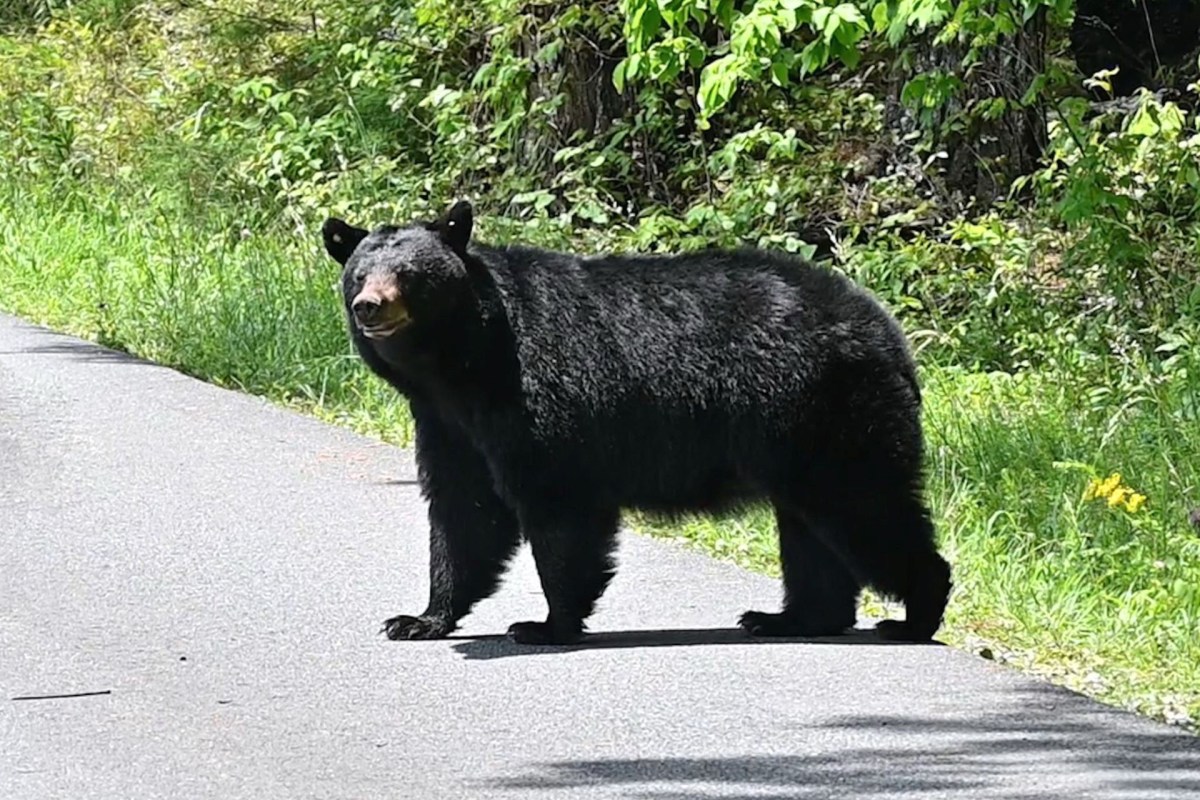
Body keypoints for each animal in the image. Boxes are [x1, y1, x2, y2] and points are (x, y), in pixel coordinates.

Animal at [321, 200, 952, 645]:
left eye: (410, 273)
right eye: (359, 273)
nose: (369, 305)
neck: (462, 365)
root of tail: (884, 327)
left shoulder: (535, 396)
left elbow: (556, 504)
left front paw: (546, 624)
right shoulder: (448, 424)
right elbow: (464, 510)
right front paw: (419, 618)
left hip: (828, 414)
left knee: (863, 507)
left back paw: (913, 615)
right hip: (798, 433)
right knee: (812, 530)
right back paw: (787, 618)